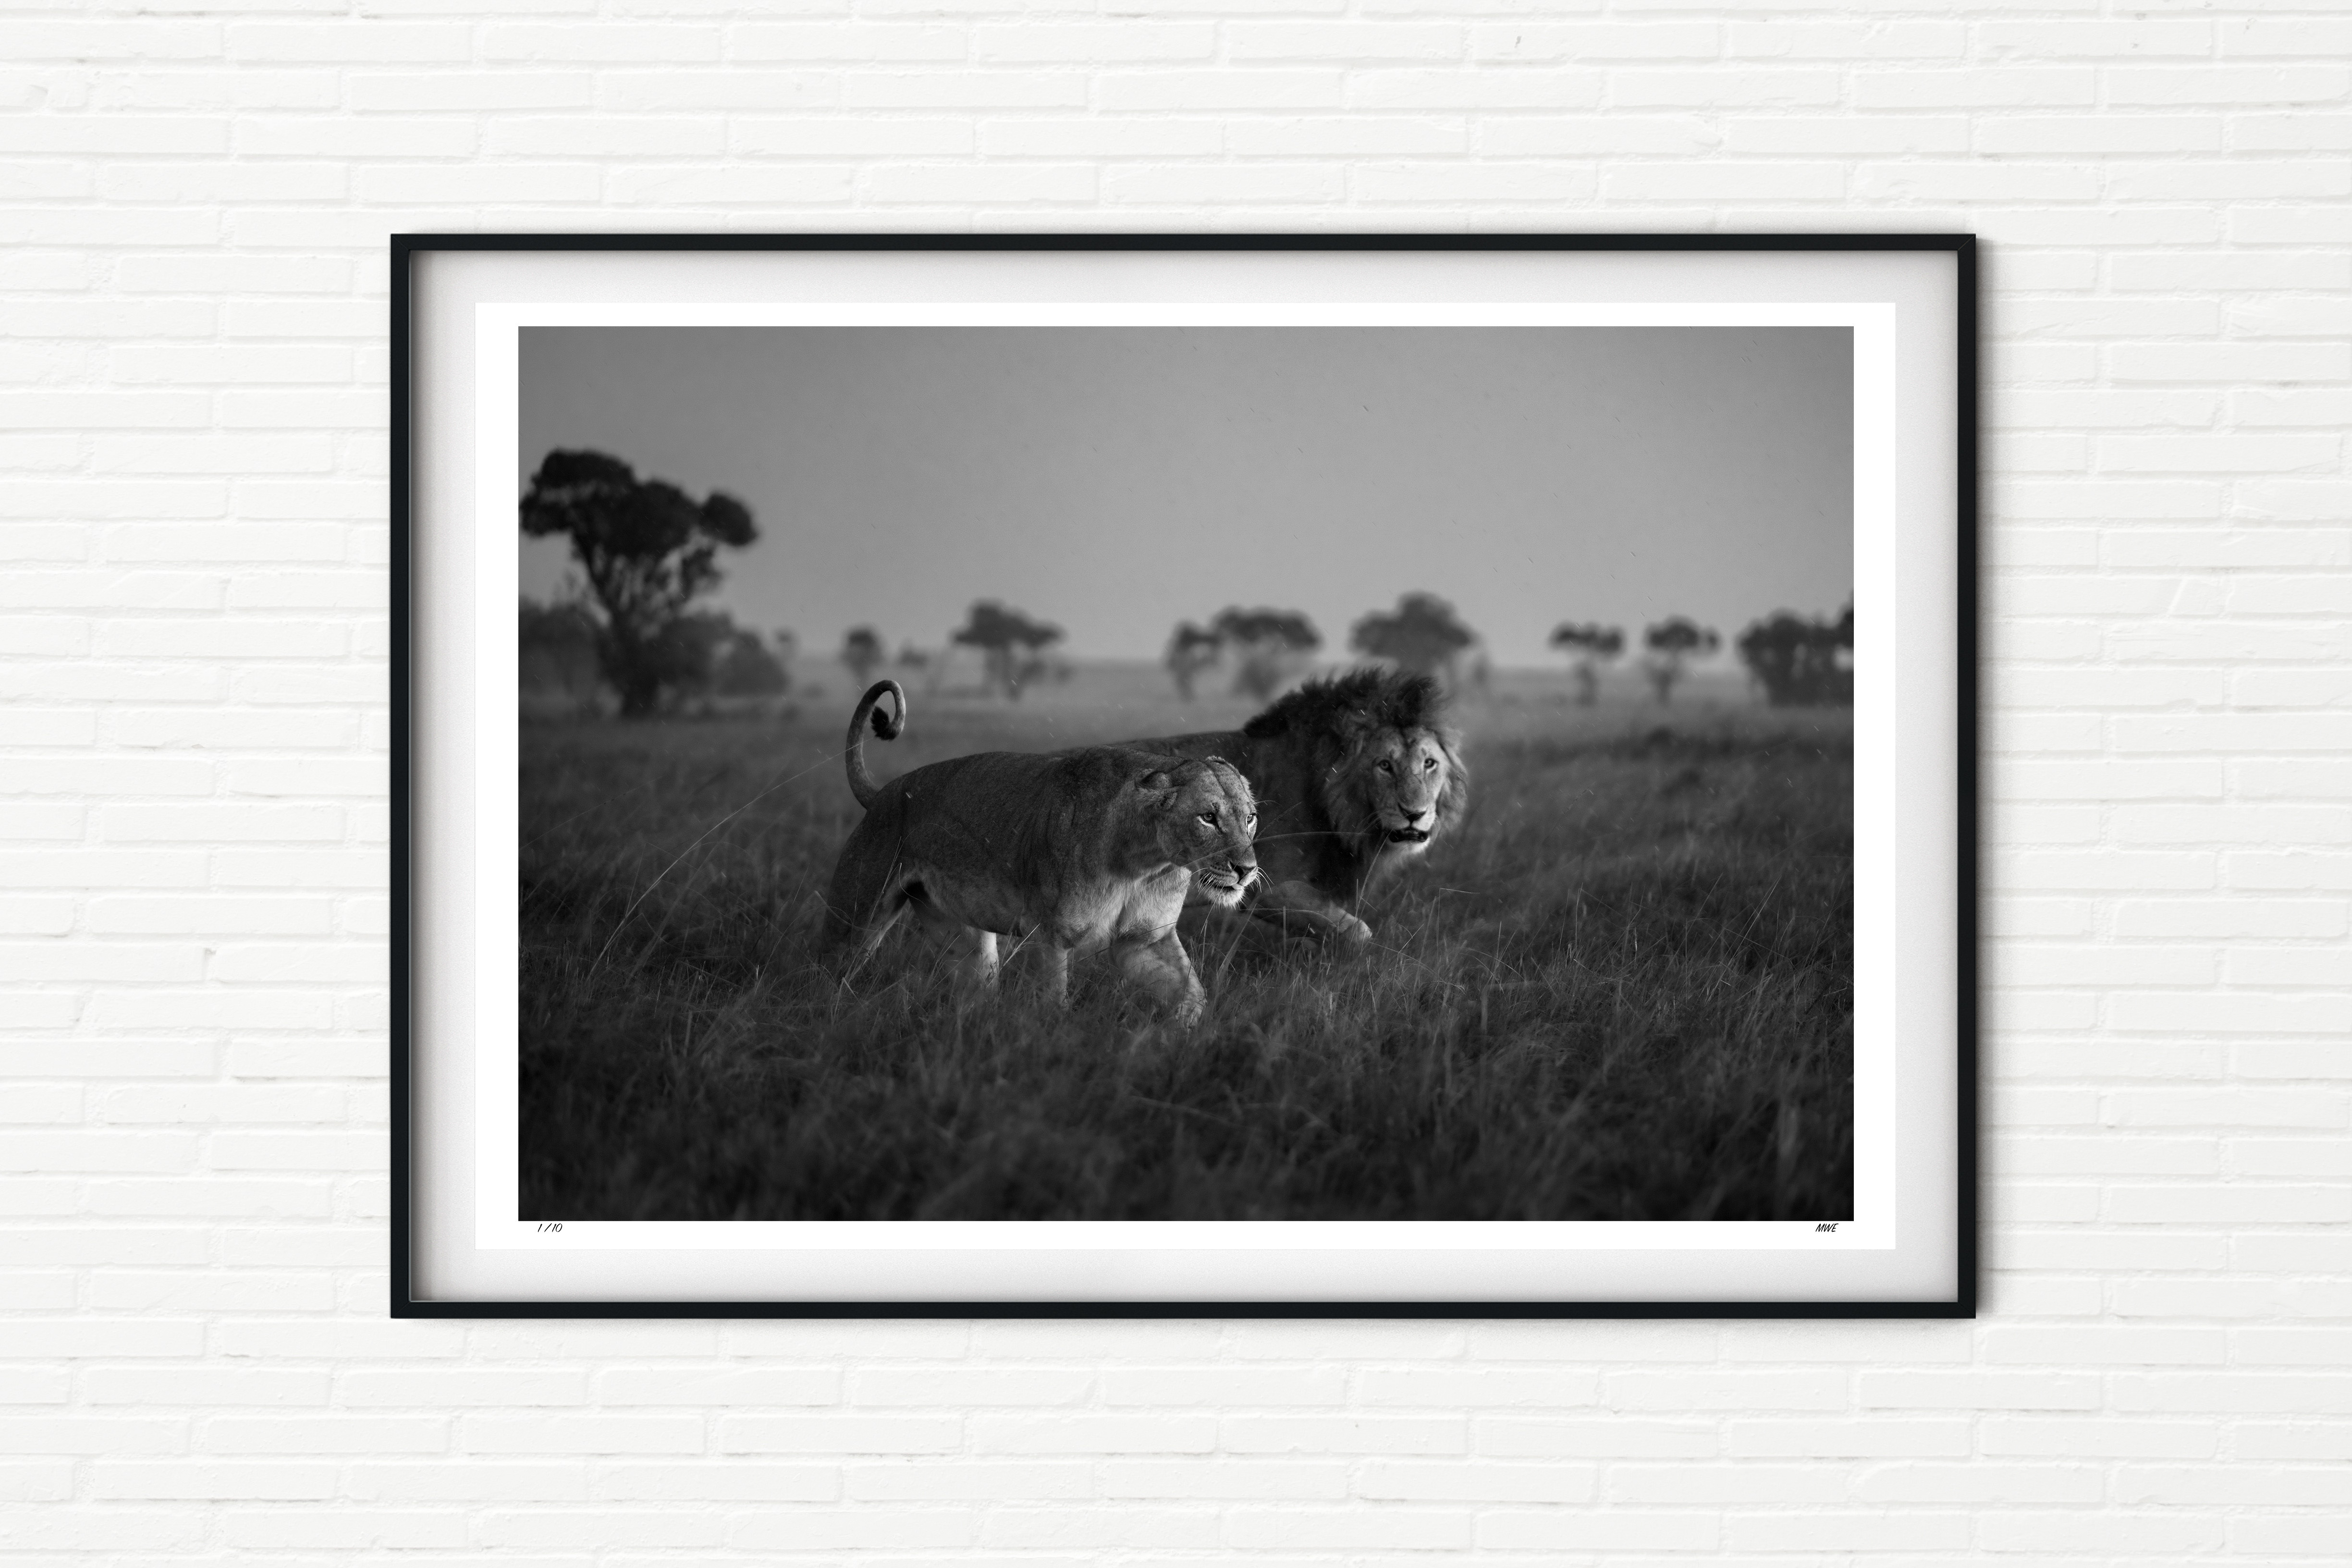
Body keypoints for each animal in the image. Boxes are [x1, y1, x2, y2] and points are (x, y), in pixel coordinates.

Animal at [820, 679, 1259, 1026]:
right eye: (1208, 818)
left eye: (1251, 818)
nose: (1247, 869)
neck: (1146, 862)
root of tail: (884, 792)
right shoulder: (1049, 935)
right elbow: (1052, 1004)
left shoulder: (1143, 941)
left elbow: (1192, 994)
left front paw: (1180, 1041)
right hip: (856, 918)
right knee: (829, 971)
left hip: (965, 940)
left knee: (974, 990)